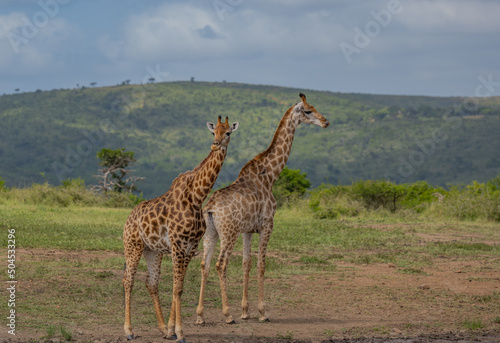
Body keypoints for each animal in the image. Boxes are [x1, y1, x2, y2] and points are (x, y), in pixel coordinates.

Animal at [121, 117, 238, 342]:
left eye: (228, 132)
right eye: (213, 133)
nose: (215, 145)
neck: (197, 197)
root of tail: (128, 219)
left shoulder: (191, 246)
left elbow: (180, 287)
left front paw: (171, 330)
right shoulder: (177, 244)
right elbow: (177, 288)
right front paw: (180, 333)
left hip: (152, 251)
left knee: (151, 282)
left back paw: (160, 328)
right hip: (133, 246)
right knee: (128, 280)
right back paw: (129, 331)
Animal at [197, 93, 330, 326]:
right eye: (308, 110)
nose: (325, 122)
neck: (270, 176)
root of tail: (211, 208)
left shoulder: (248, 230)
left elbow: (246, 263)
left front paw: (245, 311)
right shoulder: (268, 224)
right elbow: (261, 264)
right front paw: (262, 312)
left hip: (211, 232)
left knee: (205, 264)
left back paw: (200, 316)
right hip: (228, 233)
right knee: (221, 264)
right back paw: (227, 315)